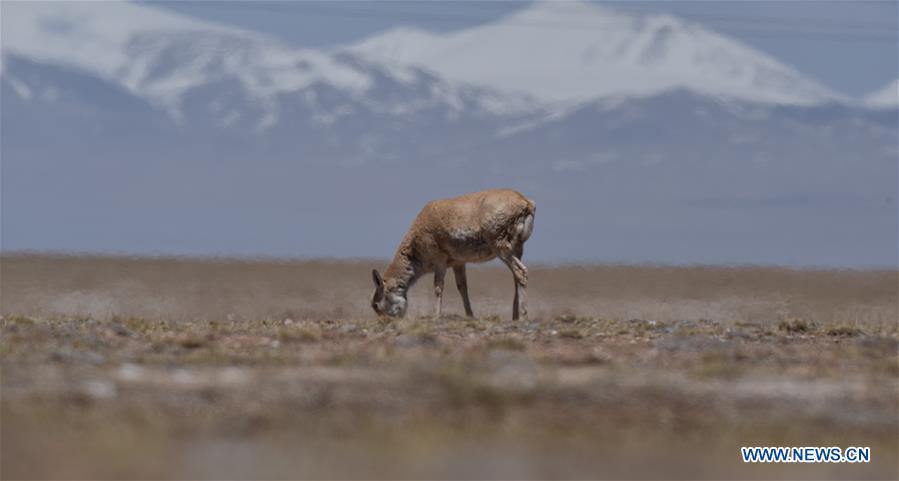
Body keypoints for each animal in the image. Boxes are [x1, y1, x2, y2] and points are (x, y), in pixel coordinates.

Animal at [370, 188, 536, 318]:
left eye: (376, 305)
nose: (385, 323)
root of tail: (526, 202)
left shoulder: (440, 261)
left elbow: (438, 287)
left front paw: (436, 316)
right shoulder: (458, 263)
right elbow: (462, 287)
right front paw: (470, 316)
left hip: (501, 248)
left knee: (521, 272)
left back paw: (523, 316)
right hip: (517, 249)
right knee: (516, 277)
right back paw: (515, 316)